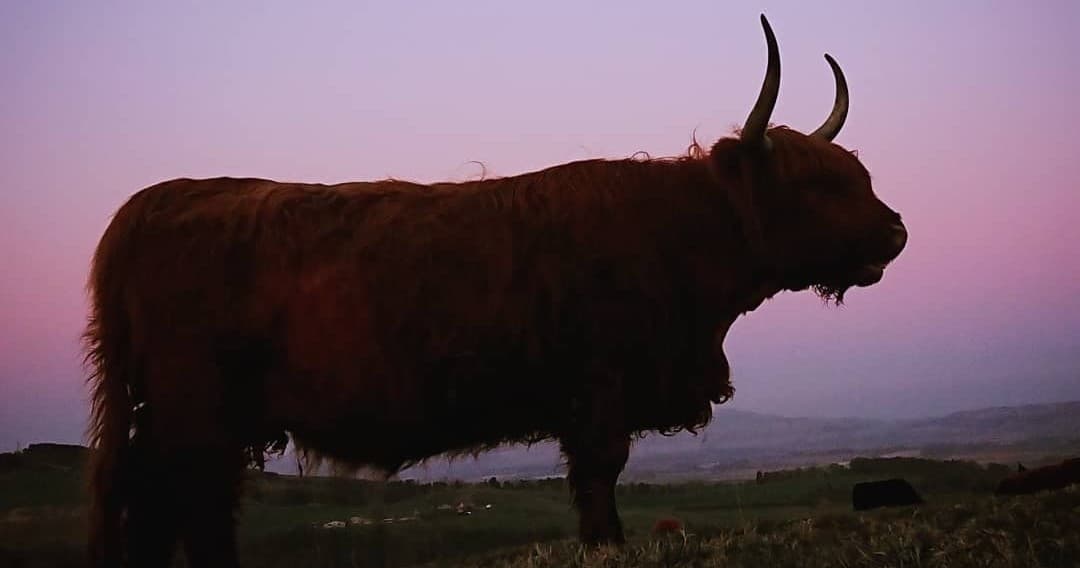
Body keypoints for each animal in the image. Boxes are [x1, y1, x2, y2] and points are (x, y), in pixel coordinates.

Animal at [84, 14, 907, 567]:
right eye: (814, 184)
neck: (676, 237)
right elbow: (601, 476)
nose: (896, 231)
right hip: (195, 407)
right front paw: (606, 545)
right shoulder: (598, 388)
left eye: (856, 173)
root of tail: (159, 199)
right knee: (187, 502)